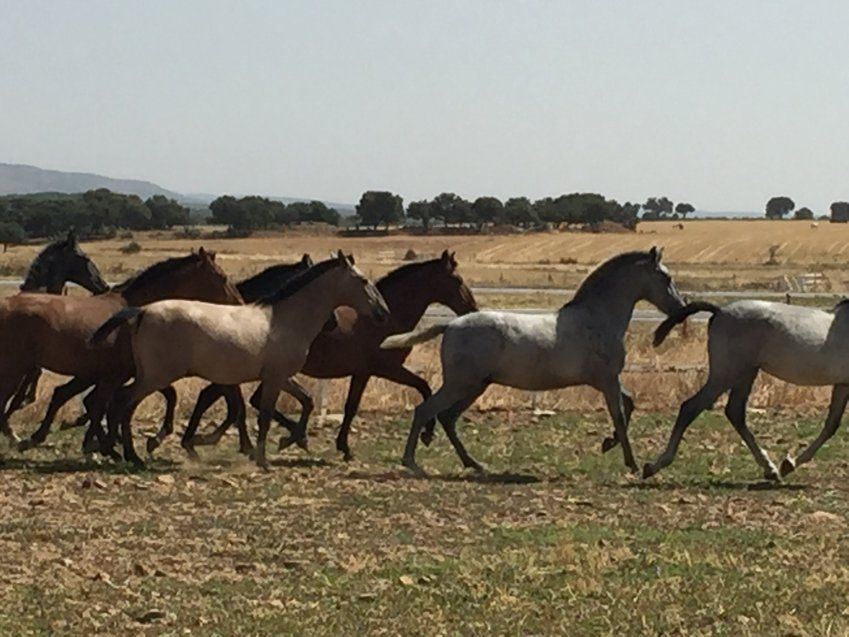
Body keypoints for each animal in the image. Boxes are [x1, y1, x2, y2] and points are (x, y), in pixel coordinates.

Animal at [91, 252, 390, 468]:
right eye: (362, 281)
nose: (383, 312)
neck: (286, 320)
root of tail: (141, 311)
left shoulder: (279, 377)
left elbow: (305, 401)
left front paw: (289, 441)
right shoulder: (274, 378)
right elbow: (264, 416)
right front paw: (263, 458)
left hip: (149, 376)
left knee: (120, 403)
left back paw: (124, 453)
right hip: (155, 376)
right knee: (122, 402)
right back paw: (128, 454)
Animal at [380, 246, 684, 474]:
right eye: (666, 279)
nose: (680, 309)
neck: (597, 318)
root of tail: (451, 325)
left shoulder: (605, 380)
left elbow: (629, 403)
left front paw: (608, 444)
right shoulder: (607, 380)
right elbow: (620, 414)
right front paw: (631, 463)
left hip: (475, 386)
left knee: (447, 417)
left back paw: (474, 464)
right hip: (460, 384)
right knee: (425, 410)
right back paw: (412, 463)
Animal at [644, 300, 849, 480]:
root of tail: (719, 311)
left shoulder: (842, 385)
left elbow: (831, 425)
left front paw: (789, 464)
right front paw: (789, 464)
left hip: (745, 374)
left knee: (734, 412)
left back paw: (771, 469)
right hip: (726, 374)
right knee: (690, 407)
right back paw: (655, 465)